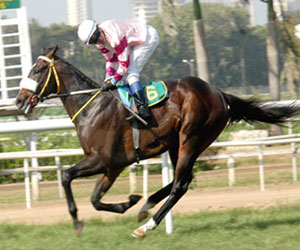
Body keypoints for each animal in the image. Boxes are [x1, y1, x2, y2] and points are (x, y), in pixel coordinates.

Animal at [15, 46, 298, 238]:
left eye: (37, 69)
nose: (19, 101)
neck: (91, 108)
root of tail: (218, 93)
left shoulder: (103, 160)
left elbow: (66, 177)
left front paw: (77, 222)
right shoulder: (112, 166)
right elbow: (95, 199)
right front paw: (129, 201)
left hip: (190, 138)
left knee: (181, 185)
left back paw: (147, 225)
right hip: (176, 144)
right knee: (182, 179)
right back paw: (146, 205)